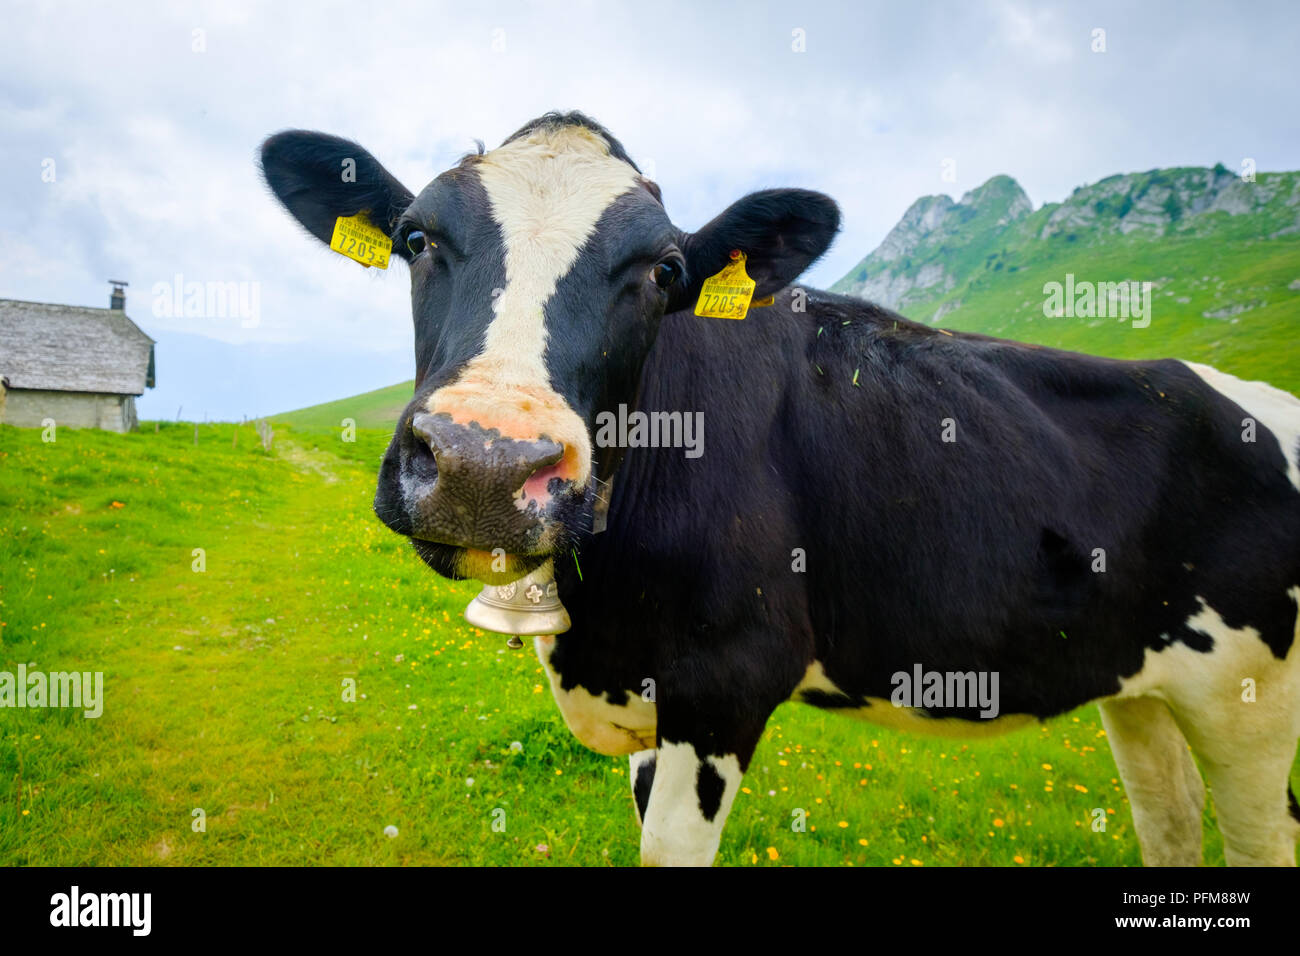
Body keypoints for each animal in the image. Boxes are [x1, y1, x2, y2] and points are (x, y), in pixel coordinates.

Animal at [261, 111, 1300, 867]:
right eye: (415, 238)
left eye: (665, 270)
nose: (485, 461)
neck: (597, 628)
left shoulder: (725, 682)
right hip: (1144, 686)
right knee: (1170, 820)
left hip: (1253, 699)